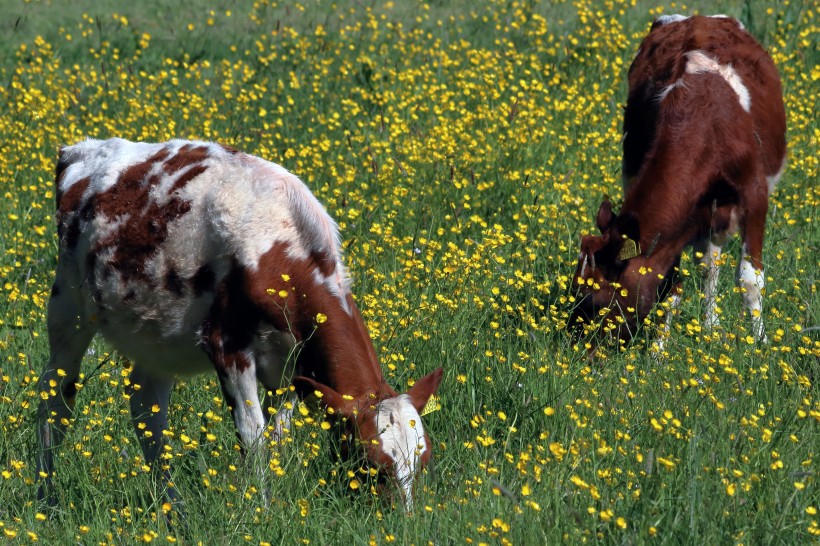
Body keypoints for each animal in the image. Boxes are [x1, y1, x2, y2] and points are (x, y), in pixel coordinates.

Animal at [38, 137, 446, 510]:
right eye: (371, 465)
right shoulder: (227, 345)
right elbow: (253, 436)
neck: (276, 248)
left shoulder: (295, 364)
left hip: (151, 340)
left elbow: (279, 436)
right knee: (55, 398)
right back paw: (48, 500)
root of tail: (84, 148)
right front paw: (259, 512)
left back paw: (173, 514)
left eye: (423, 461)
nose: (403, 522)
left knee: (147, 412)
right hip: (67, 306)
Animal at [572, 15, 788, 348]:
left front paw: (760, 344)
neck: (706, 124)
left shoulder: (755, 194)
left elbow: (750, 279)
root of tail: (696, 18)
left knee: (713, 265)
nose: (578, 351)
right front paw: (658, 351)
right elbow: (669, 284)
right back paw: (711, 325)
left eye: (596, 301)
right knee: (709, 266)